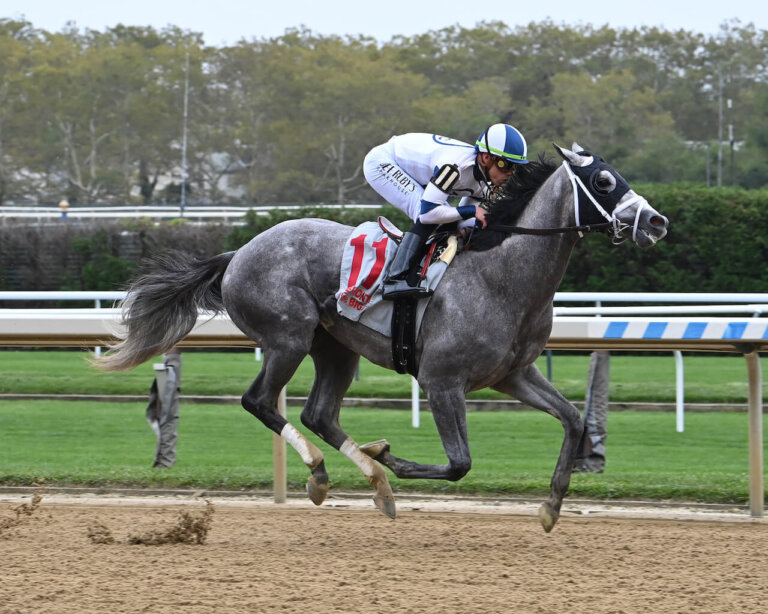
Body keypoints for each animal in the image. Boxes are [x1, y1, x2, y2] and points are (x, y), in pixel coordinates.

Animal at [100, 146, 664, 536]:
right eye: (605, 180)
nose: (657, 222)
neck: (502, 276)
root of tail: (237, 252)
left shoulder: (512, 375)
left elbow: (573, 420)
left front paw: (551, 506)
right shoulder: (442, 381)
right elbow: (460, 463)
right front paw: (390, 454)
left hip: (335, 347)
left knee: (319, 414)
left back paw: (375, 483)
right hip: (288, 336)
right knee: (260, 401)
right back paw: (325, 473)